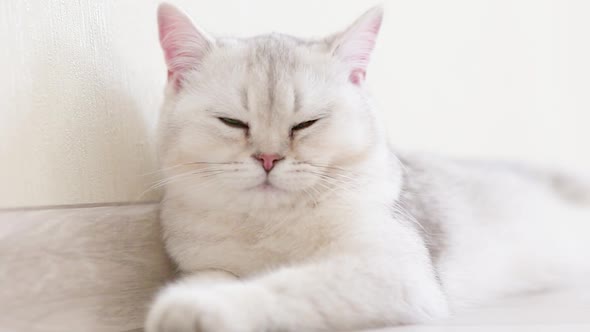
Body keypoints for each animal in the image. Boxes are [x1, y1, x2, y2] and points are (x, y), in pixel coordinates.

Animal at [145, 3, 590, 332]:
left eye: (306, 123)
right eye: (232, 122)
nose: (268, 159)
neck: (270, 225)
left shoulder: (390, 271)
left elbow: (287, 285)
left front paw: (199, 311)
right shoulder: (205, 264)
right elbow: (206, 279)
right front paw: (183, 302)